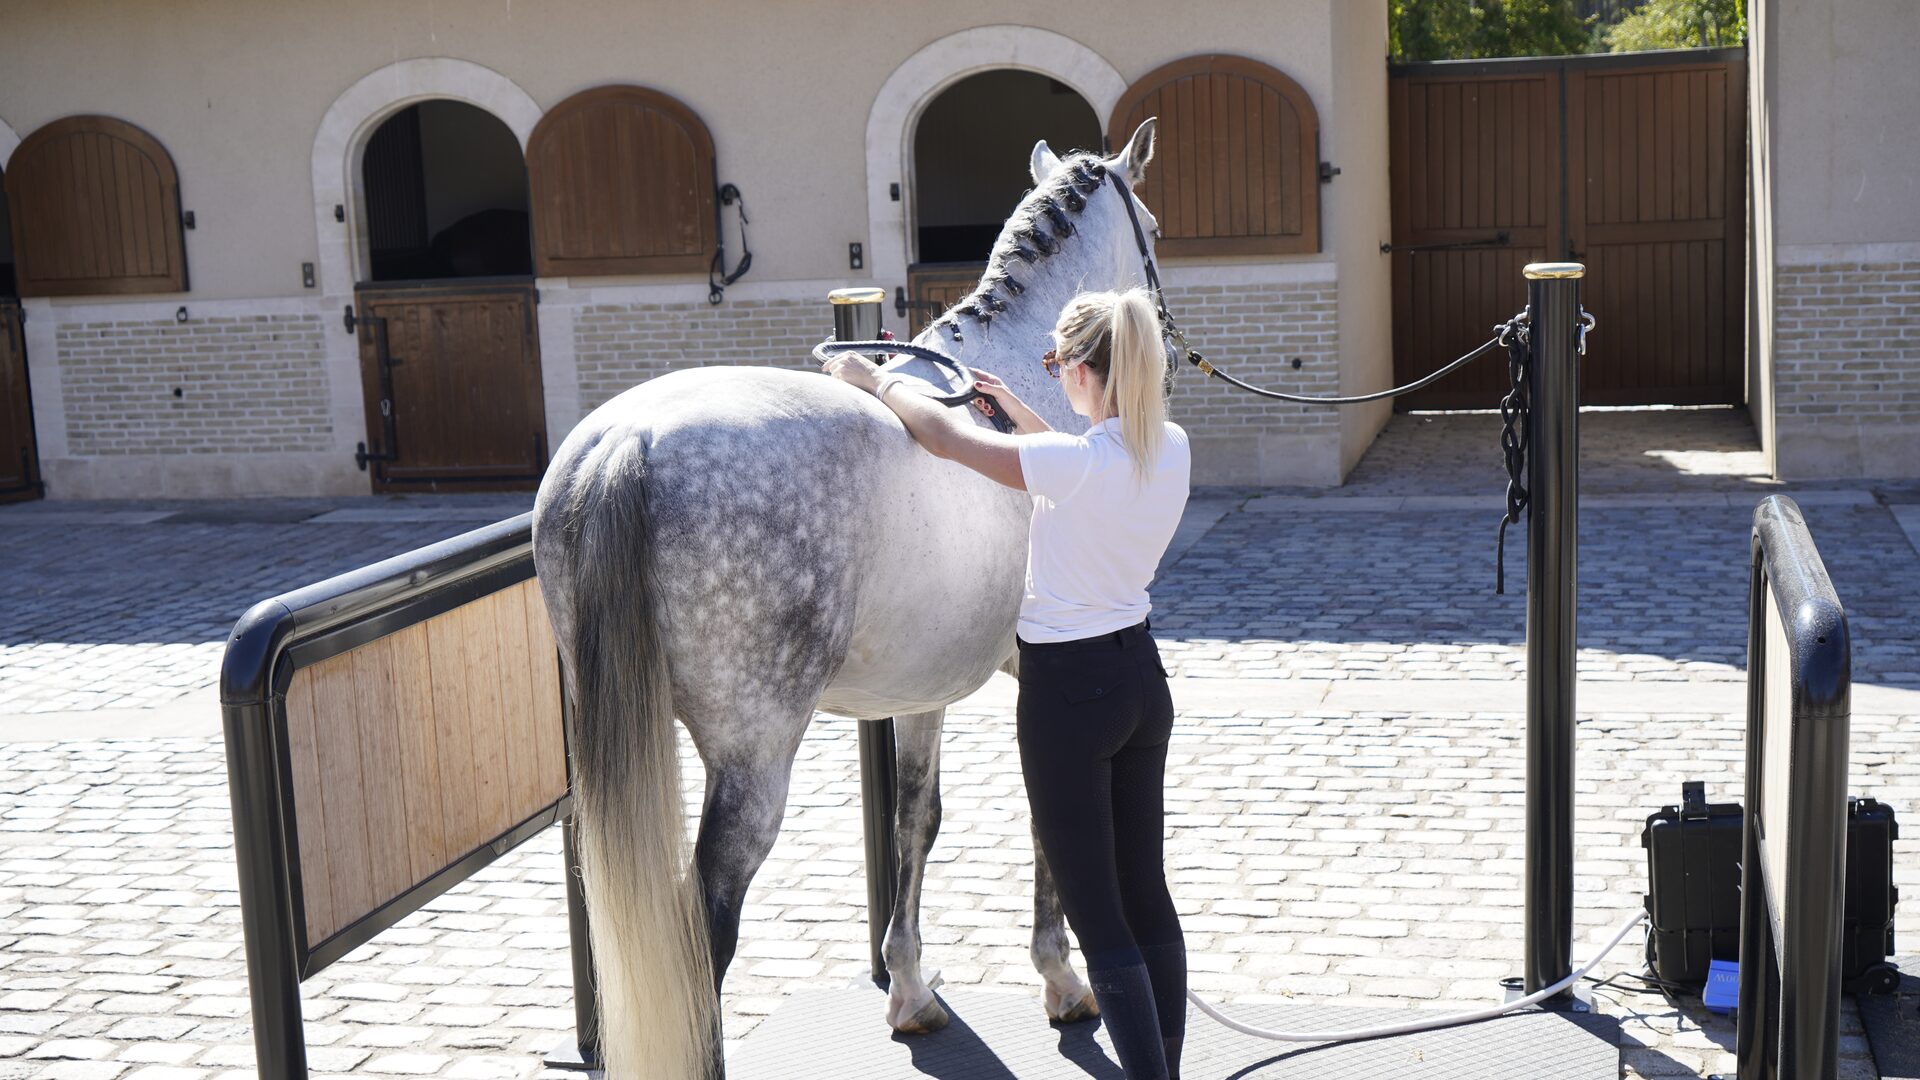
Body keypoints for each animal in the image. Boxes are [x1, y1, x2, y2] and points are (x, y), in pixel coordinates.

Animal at [531, 118, 1163, 1079]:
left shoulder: (925, 690)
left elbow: (915, 819)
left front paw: (908, 990)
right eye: (1156, 229)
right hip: (753, 756)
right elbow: (1047, 818)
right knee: (705, 923)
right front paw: (1060, 980)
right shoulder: (1038, 674)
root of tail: (626, 444)